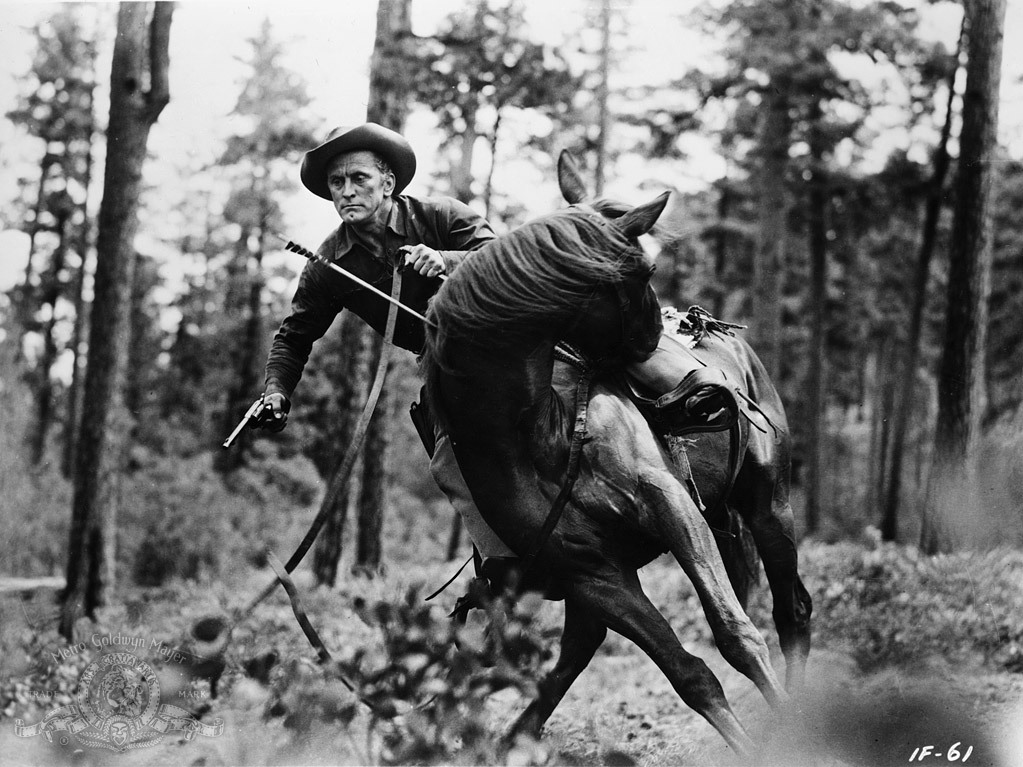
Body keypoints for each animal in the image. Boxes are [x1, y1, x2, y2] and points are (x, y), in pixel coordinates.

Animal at [419, 153, 810, 760]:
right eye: (644, 272)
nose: (654, 336)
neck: (544, 431)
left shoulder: (672, 506)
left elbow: (735, 634)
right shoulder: (595, 575)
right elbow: (689, 673)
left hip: (770, 507)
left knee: (790, 614)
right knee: (576, 651)